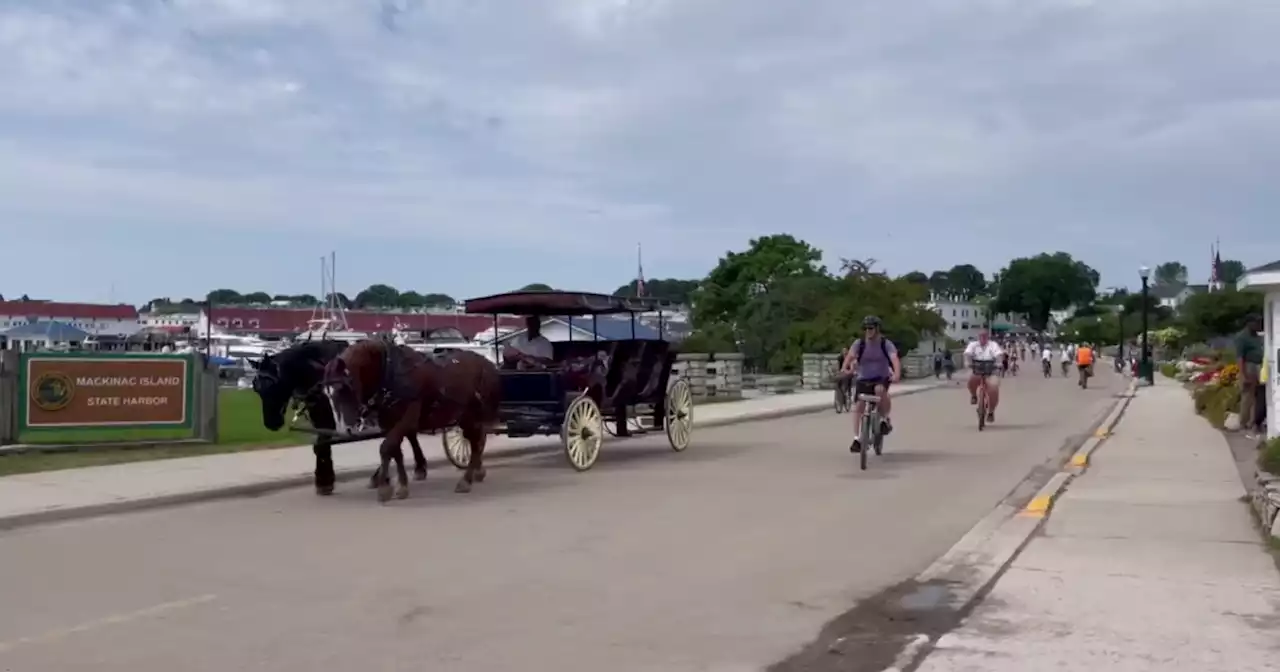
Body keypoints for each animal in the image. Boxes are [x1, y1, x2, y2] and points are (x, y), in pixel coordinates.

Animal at [249, 340, 430, 491]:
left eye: (273, 385)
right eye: (256, 388)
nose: (271, 423)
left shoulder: (331, 419)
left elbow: (321, 445)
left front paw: (324, 480)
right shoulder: (320, 419)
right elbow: (319, 445)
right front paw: (324, 477)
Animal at [320, 340, 499, 496]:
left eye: (342, 389)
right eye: (327, 394)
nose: (345, 429)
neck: (390, 374)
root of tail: (488, 364)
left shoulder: (408, 417)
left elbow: (387, 447)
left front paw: (385, 487)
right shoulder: (389, 421)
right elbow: (395, 450)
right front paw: (401, 484)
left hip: (471, 414)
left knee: (475, 442)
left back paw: (466, 480)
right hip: (464, 416)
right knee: (475, 440)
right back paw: (477, 471)